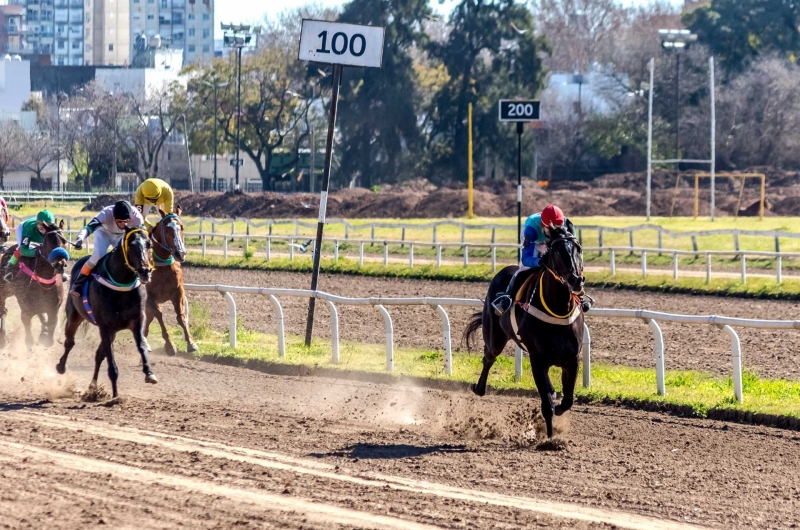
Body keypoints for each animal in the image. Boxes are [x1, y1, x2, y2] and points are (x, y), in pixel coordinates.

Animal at [56, 226, 156, 396]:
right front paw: (115, 395)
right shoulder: (104, 326)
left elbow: (141, 345)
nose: (145, 271)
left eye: (149, 244)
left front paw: (149, 373)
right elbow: (110, 359)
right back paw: (61, 367)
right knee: (69, 342)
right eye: (131, 246)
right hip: (74, 316)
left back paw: (93, 386)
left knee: (98, 355)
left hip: (113, 331)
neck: (121, 286)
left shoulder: (137, 320)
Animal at [143, 210, 196, 354]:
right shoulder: (150, 297)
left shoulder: (178, 293)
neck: (162, 267)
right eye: (167, 229)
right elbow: (159, 315)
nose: (180, 253)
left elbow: (181, 317)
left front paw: (191, 342)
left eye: (181, 227)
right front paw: (170, 345)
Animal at [462, 224, 588, 438]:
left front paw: (559, 408)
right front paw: (550, 439)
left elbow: (567, 400)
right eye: (557, 250)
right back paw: (478, 388)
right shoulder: (537, 360)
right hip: (495, 338)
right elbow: (547, 404)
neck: (558, 310)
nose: (576, 280)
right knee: (488, 357)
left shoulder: (572, 360)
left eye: (578, 248)